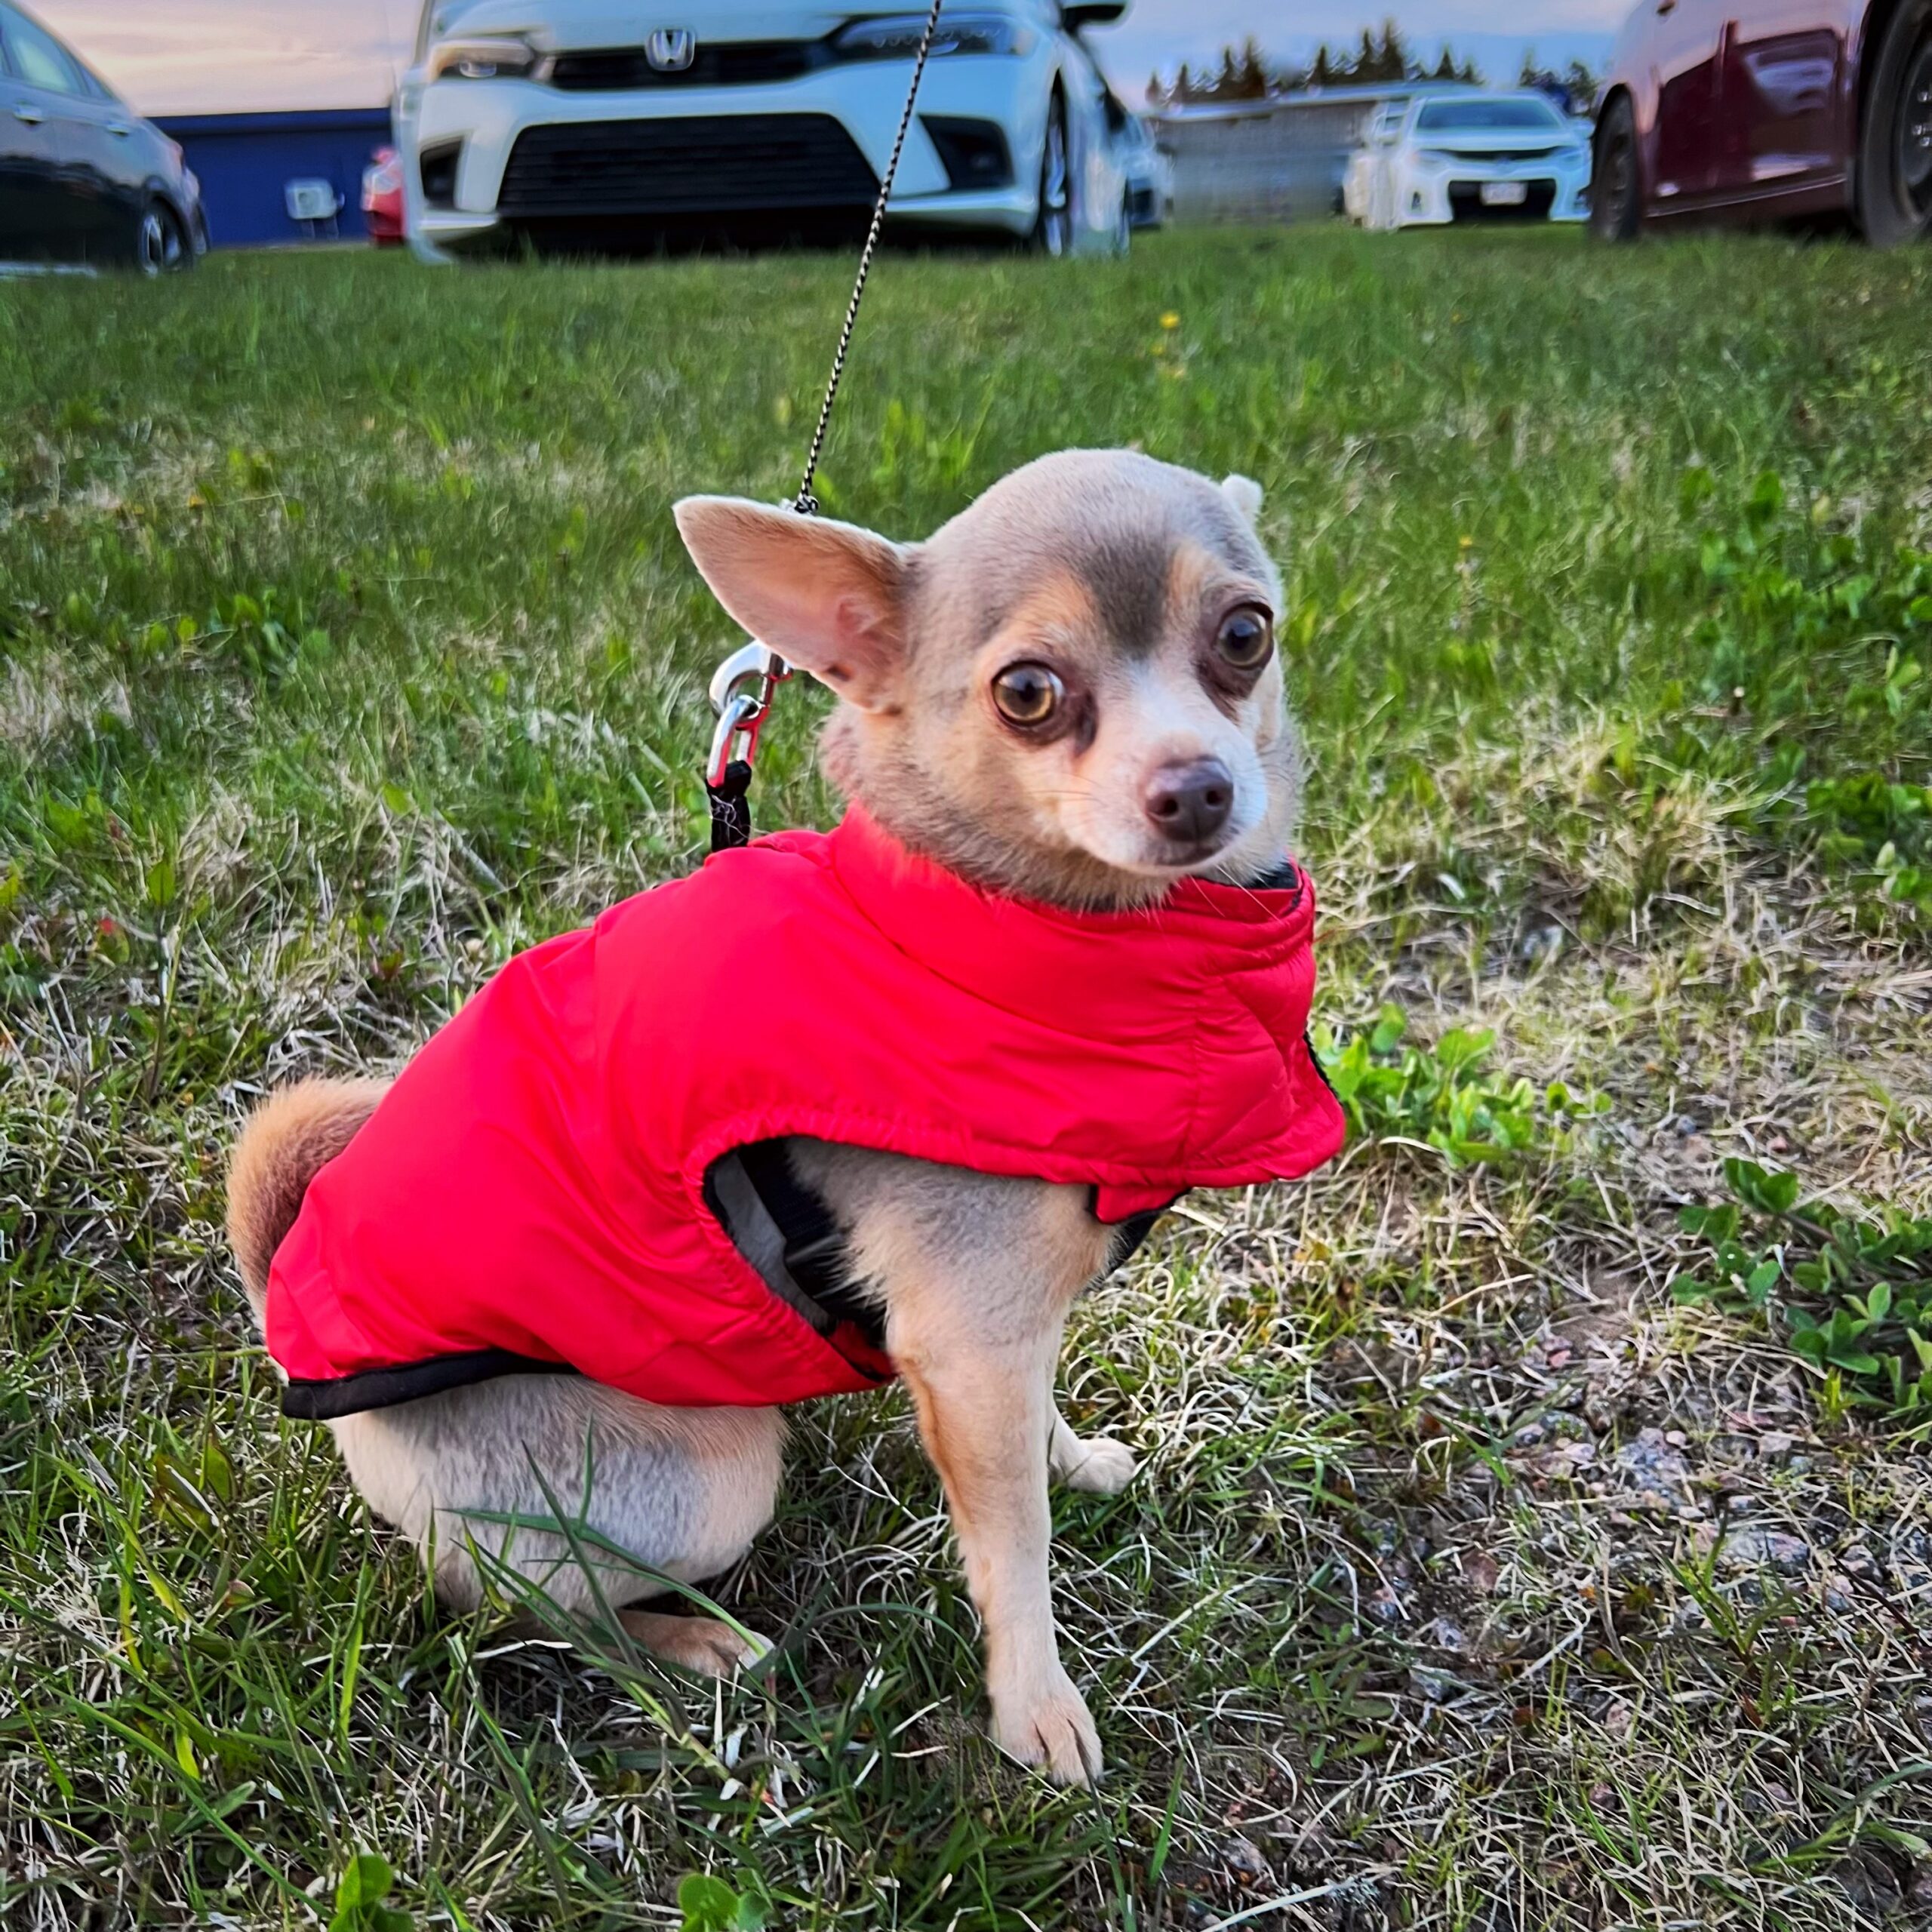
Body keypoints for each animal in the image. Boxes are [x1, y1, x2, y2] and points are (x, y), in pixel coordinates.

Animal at [225, 448, 1340, 1787]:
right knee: (515, 1601)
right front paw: (1034, 1706)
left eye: (1245, 634)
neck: (991, 927)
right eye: (1027, 692)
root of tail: (281, 1303)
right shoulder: (966, 1343)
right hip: (707, 1473)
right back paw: (691, 1642)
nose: (1198, 787)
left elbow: (1032, 1442)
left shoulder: (998, 1348)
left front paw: (1074, 1462)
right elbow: (1011, 1547)